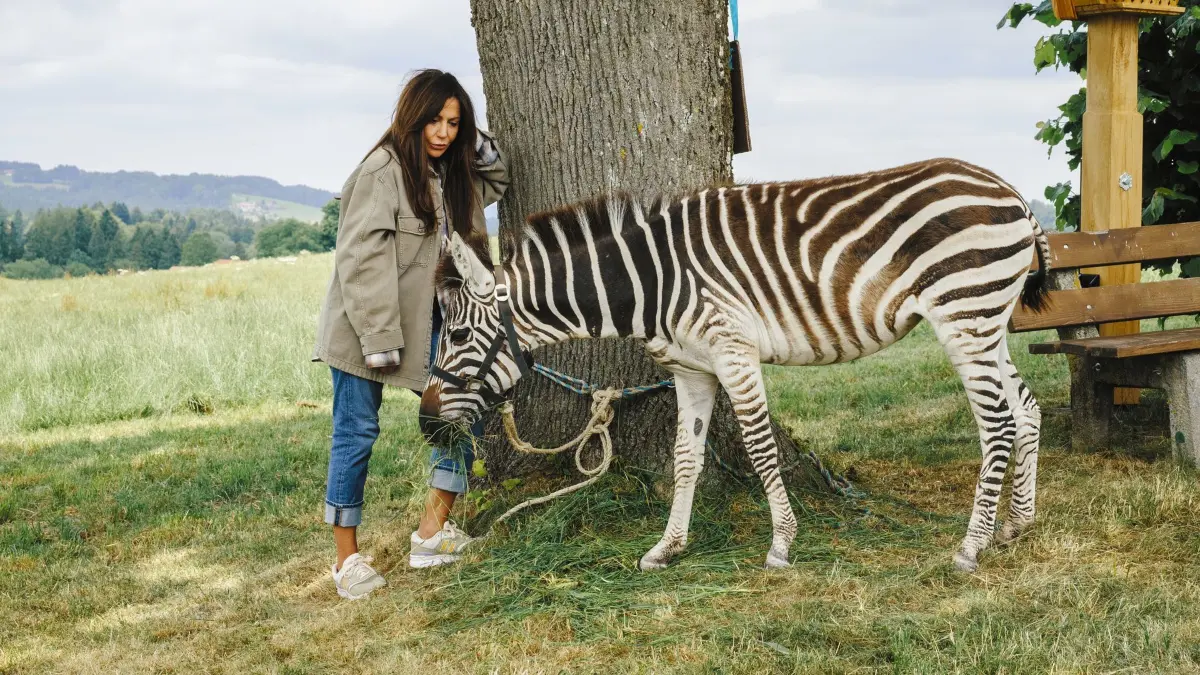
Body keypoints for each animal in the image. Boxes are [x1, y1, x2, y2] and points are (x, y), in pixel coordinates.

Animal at [420, 157, 1051, 573]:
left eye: (457, 334)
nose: (426, 424)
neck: (651, 282)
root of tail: (1012, 193)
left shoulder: (733, 352)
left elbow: (759, 446)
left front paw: (782, 543)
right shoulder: (691, 369)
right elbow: (686, 457)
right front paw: (667, 547)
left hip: (963, 314)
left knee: (997, 424)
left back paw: (972, 546)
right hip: (988, 321)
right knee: (1026, 409)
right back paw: (1017, 524)